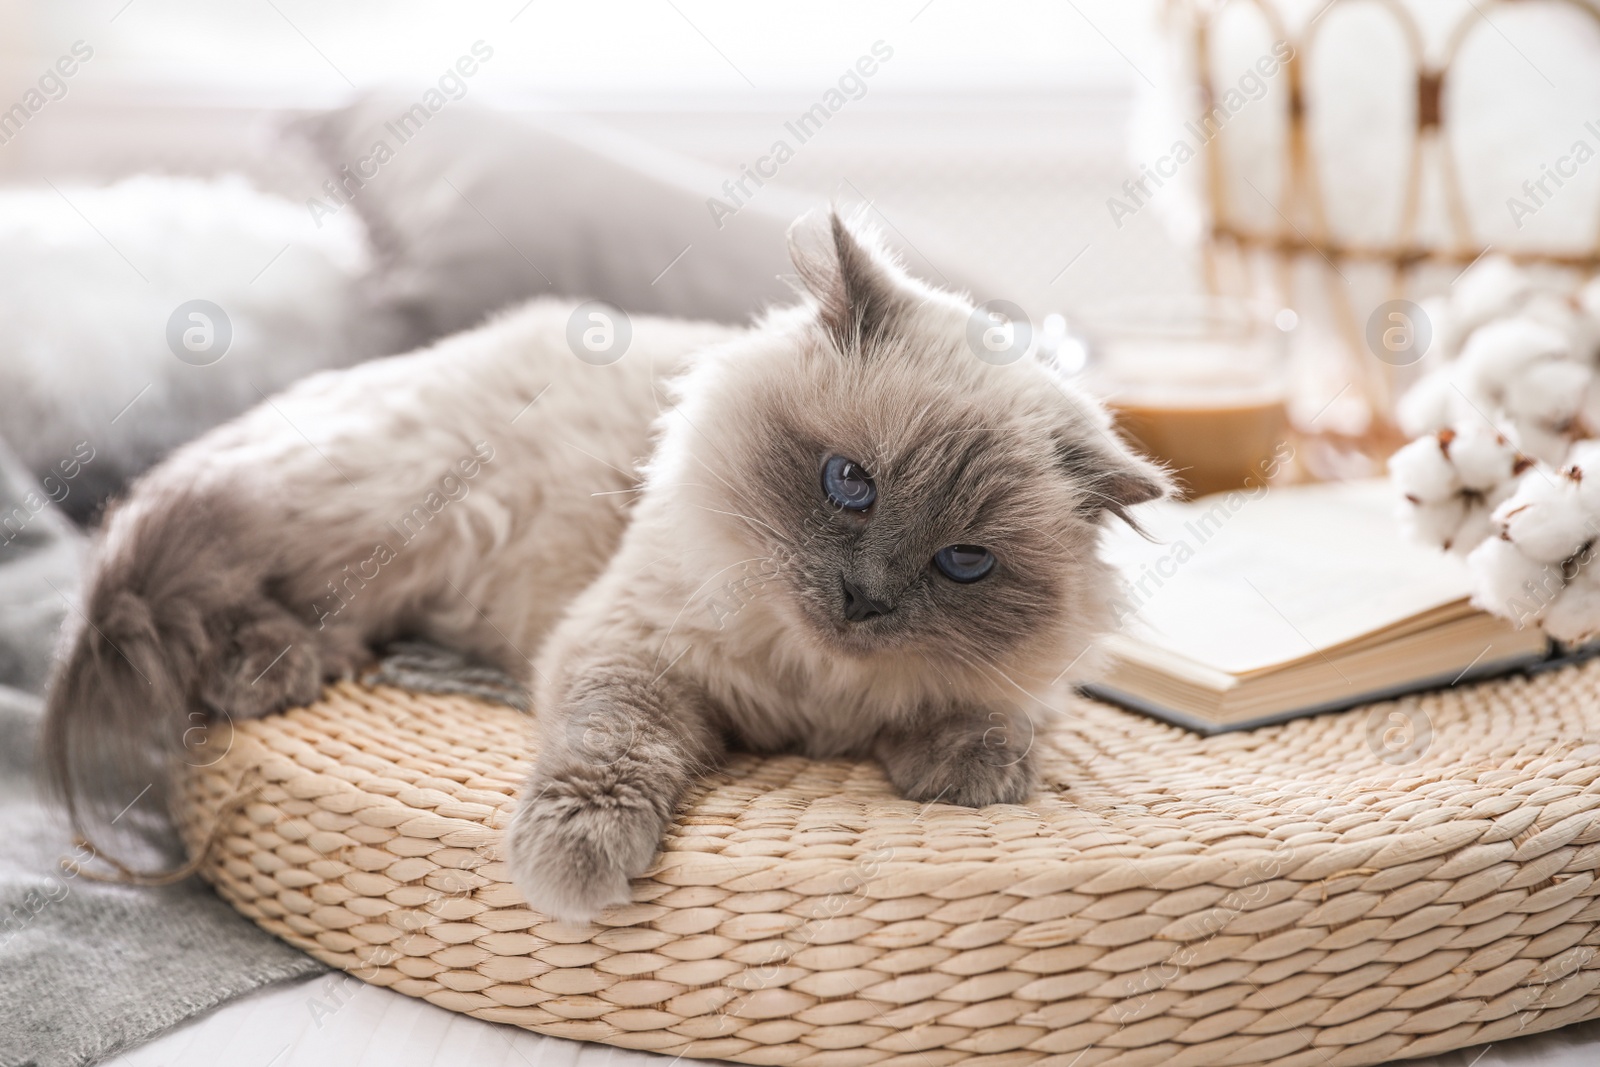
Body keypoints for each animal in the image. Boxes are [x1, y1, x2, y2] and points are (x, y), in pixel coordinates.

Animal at [37, 211, 1164, 927]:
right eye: (850, 482)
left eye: (964, 562)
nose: (866, 597)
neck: (816, 689)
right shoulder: (635, 649)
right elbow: (609, 749)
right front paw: (574, 862)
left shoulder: (993, 684)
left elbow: (990, 718)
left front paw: (970, 769)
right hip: (389, 511)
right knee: (196, 595)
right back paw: (265, 671)